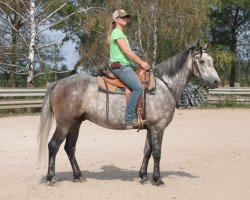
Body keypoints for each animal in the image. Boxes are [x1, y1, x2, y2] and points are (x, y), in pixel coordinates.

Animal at [37, 41, 221, 186]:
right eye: (202, 61)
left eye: (211, 61)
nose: (216, 81)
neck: (163, 86)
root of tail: (58, 83)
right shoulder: (158, 127)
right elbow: (157, 152)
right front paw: (157, 179)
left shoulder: (150, 128)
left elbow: (147, 151)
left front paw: (143, 176)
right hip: (64, 123)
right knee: (53, 145)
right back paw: (51, 178)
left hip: (75, 123)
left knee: (70, 148)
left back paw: (78, 176)